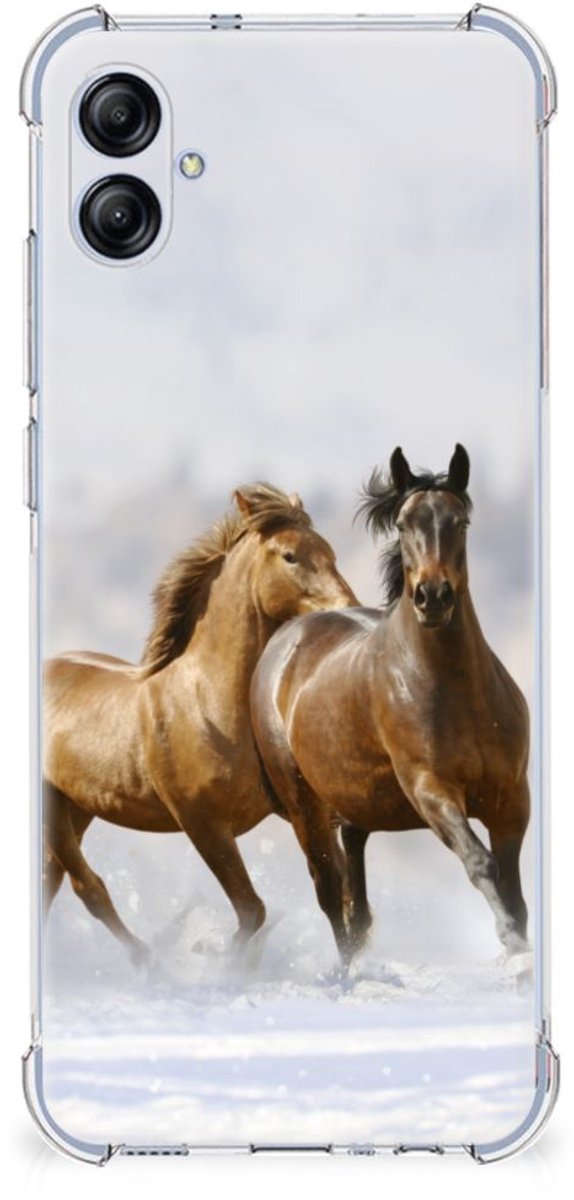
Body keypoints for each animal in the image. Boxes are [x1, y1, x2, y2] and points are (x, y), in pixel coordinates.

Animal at [43, 483, 358, 963]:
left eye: (330, 551)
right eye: (290, 556)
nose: (349, 610)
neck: (208, 704)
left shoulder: (299, 809)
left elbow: (333, 888)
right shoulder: (202, 823)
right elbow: (252, 910)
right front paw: (218, 959)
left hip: (77, 805)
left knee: (52, 880)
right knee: (86, 886)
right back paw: (149, 962)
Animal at [250, 446, 531, 967]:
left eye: (461, 521)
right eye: (402, 524)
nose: (432, 597)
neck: (458, 693)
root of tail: (284, 640)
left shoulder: (511, 798)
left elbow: (514, 886)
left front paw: (519, 944)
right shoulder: (431, 790)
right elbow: (481, 863)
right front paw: (512, 944)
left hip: (355, 805)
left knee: (355, 896)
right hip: (305, 806)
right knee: (329, 891)